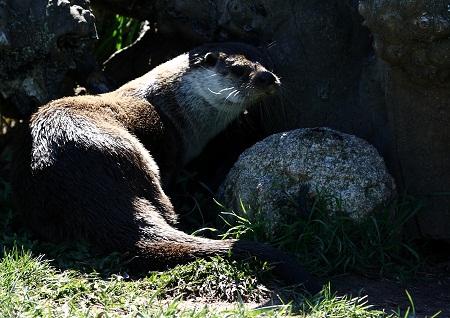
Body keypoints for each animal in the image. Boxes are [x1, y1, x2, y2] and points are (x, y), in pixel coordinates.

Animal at [11, 42, 320, 294]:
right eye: (238, 69)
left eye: (264, 64)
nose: (267, 77)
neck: (174, 108)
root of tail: (87, 194)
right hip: (136, 154)